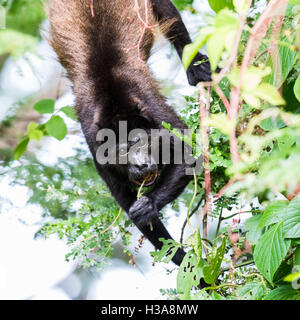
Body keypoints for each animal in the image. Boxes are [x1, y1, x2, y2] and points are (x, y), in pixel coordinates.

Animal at [48, 0, 211, 264]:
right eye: (122, 151)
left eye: (140, 143)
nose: (141, 164)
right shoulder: (93, 139)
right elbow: (125, 200)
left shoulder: (152, 108)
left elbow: (188, 152)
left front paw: (149, 204)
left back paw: (195, 65)